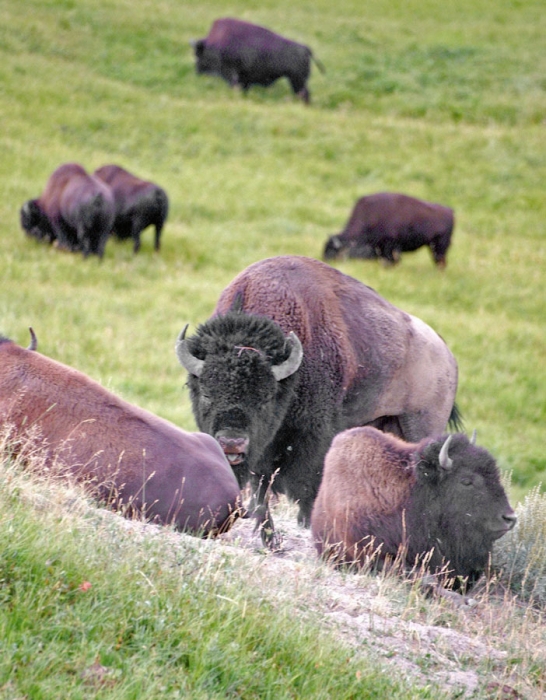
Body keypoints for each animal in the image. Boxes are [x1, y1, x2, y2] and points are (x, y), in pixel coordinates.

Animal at [175, 258, 460, 548]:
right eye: (206, 393)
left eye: (265, 398)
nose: (232, 442)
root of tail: (447, 355)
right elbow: (261, 489)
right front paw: (270, 538)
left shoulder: (312, 435)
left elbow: (307, 484)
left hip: (420, 426)